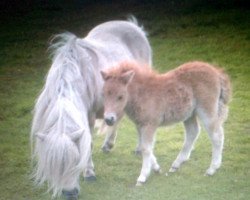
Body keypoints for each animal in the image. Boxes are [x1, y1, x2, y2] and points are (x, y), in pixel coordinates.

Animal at [31, 18, 152, 198]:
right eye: (53, 166)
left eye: (75, 162)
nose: (70, 193)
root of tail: (134, 26)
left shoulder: (89, 116)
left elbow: (88, 143)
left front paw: (89, 173)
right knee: (116, 120)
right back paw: (108, 145)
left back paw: (138, 149)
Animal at [100, 60, 231, 186]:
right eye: (104, 94)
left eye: (120, 96)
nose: (109, 119)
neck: (143, 93)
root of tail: (216, 72)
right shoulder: (140, 125)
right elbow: (143, 146)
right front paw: (156, 168)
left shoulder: (150, 125)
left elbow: (146, 148)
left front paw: (142, 177)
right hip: (189, 114)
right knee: (193, 132)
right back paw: (176, 164)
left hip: (207, 110)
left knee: (217, 136)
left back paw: (212, 169)